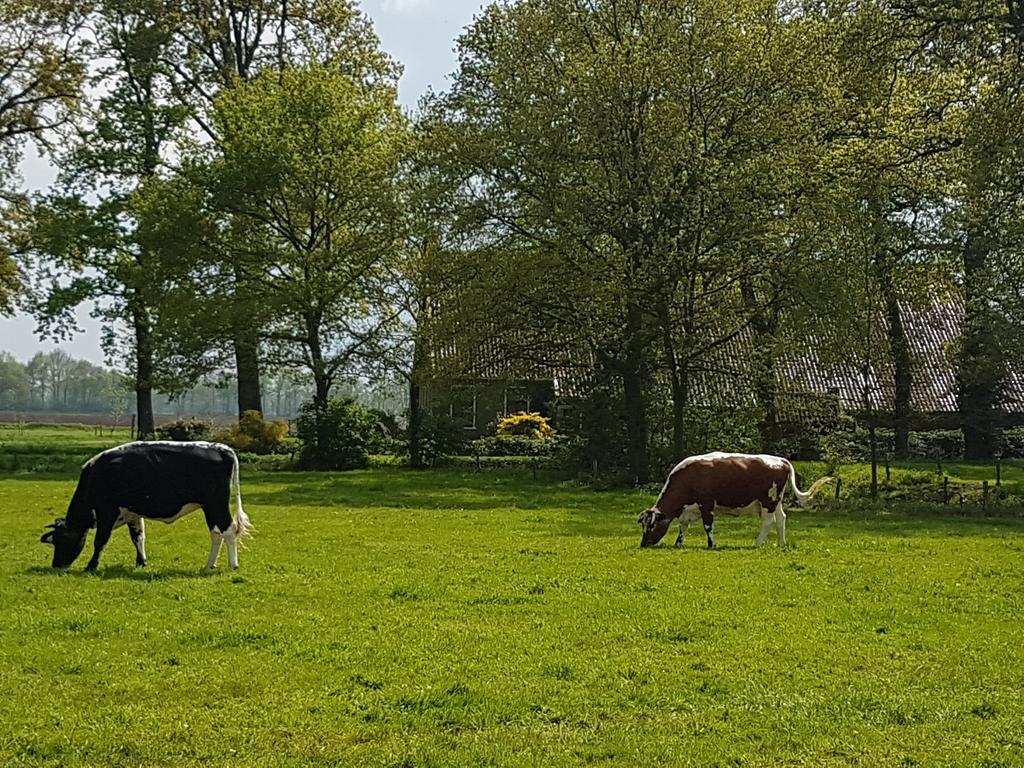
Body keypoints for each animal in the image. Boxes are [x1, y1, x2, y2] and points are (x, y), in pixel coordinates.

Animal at [40, 444, 251, 573]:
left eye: (59, 541)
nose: (56, 565)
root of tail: (221, 448)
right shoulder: (132, 513)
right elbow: (138, 537)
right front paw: (141, 562)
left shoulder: (106, 510)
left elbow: (100, 541)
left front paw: (91, 566)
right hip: (210, 508)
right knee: (216, 533)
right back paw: (209, 565)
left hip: (216, 505)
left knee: (228, 530)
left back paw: (232, 565)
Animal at [638, 454, 831, 548]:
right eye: (643, 525)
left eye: (652, 525)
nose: (643, 544)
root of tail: (780, 460)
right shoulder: (689, 509)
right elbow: (683, 526)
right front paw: (678, 543)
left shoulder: (706, 504)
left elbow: (708, 526)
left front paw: (712, 544)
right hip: (776, 501)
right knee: (781, 519)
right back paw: (781, 544)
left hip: (768, 501)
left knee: (768, 522)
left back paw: (758, 543)